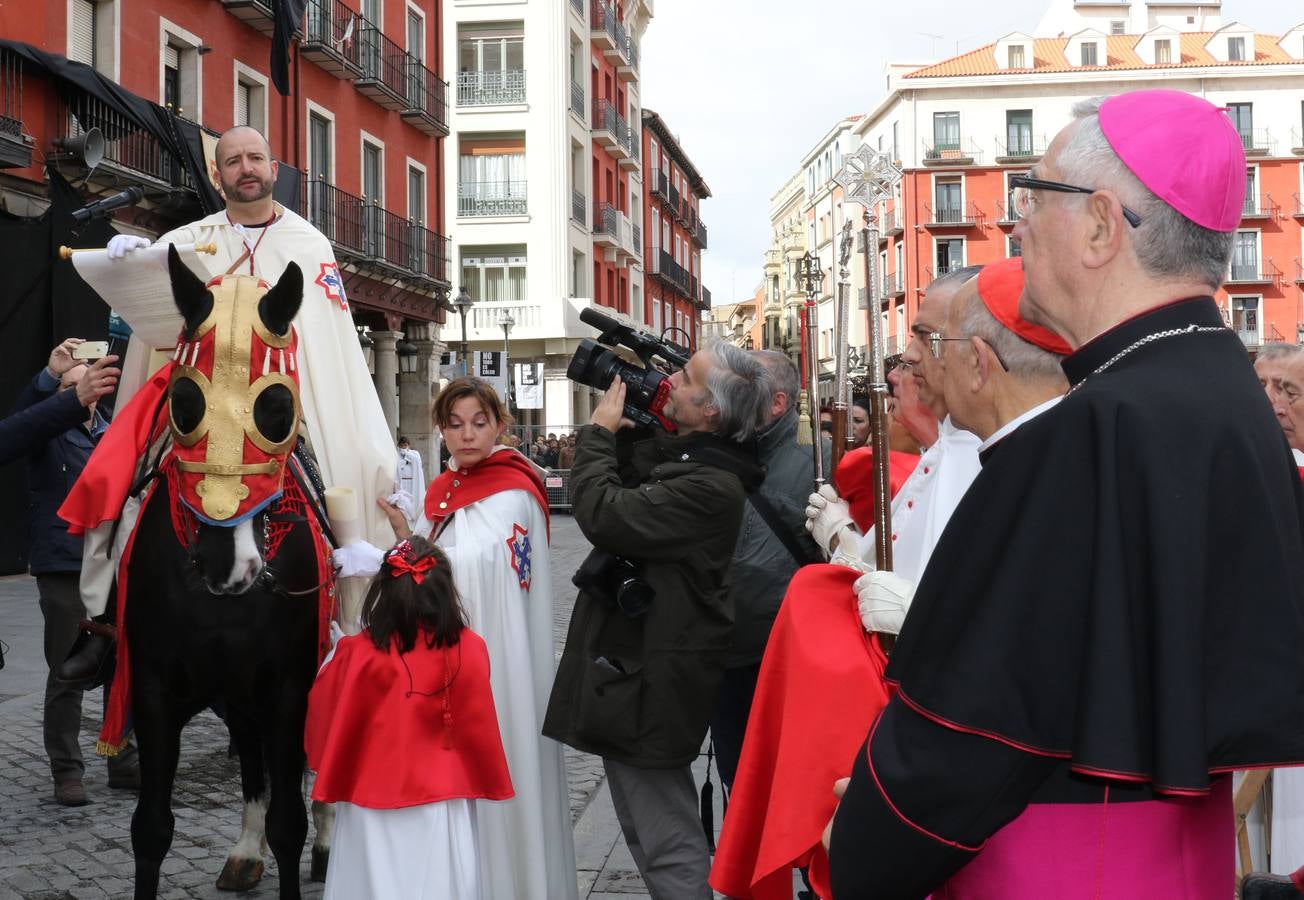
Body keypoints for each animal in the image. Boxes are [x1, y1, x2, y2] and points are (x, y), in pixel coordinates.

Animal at [122, 246, 328, 897]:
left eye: (277, 408)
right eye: (183, 402)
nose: (226, 563)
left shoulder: (290, 691)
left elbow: (291, 826)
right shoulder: (154, 693)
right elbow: (151, 830)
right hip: (237, 696)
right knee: (252, 762)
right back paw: (243, 851)